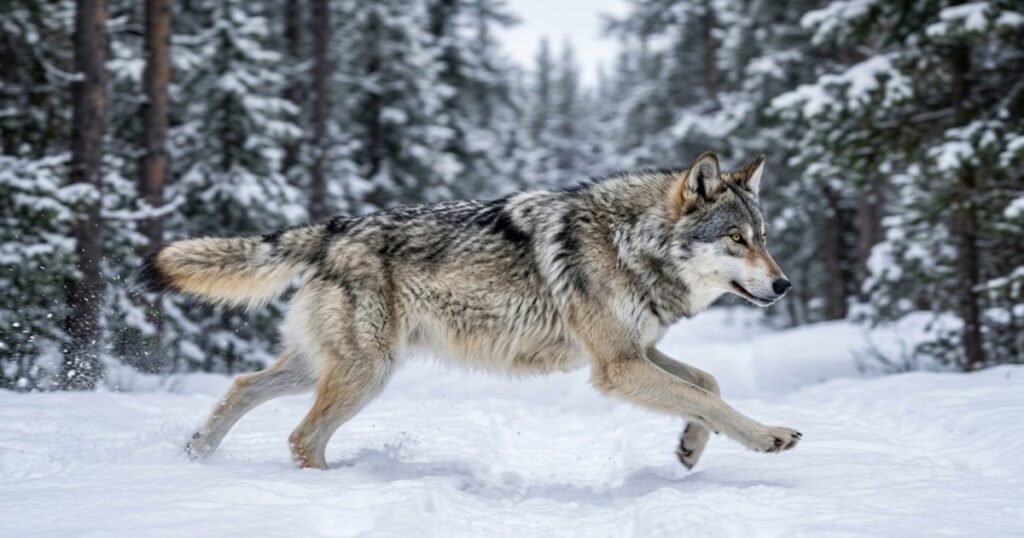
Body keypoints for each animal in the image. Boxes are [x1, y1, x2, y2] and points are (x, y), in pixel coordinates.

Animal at [140, 151, 799, 471]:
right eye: (736, 239)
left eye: (763, 237)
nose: (784, 284)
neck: (631, 241)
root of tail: (333, 228)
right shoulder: (616, 366)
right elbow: (707, 396)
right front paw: (768, 436)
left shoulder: (637, 351)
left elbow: (706, 385)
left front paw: (690, 447)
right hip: (365, 374)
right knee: (302, 437)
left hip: (323, 366)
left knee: (243, 386)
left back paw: (197, 454)